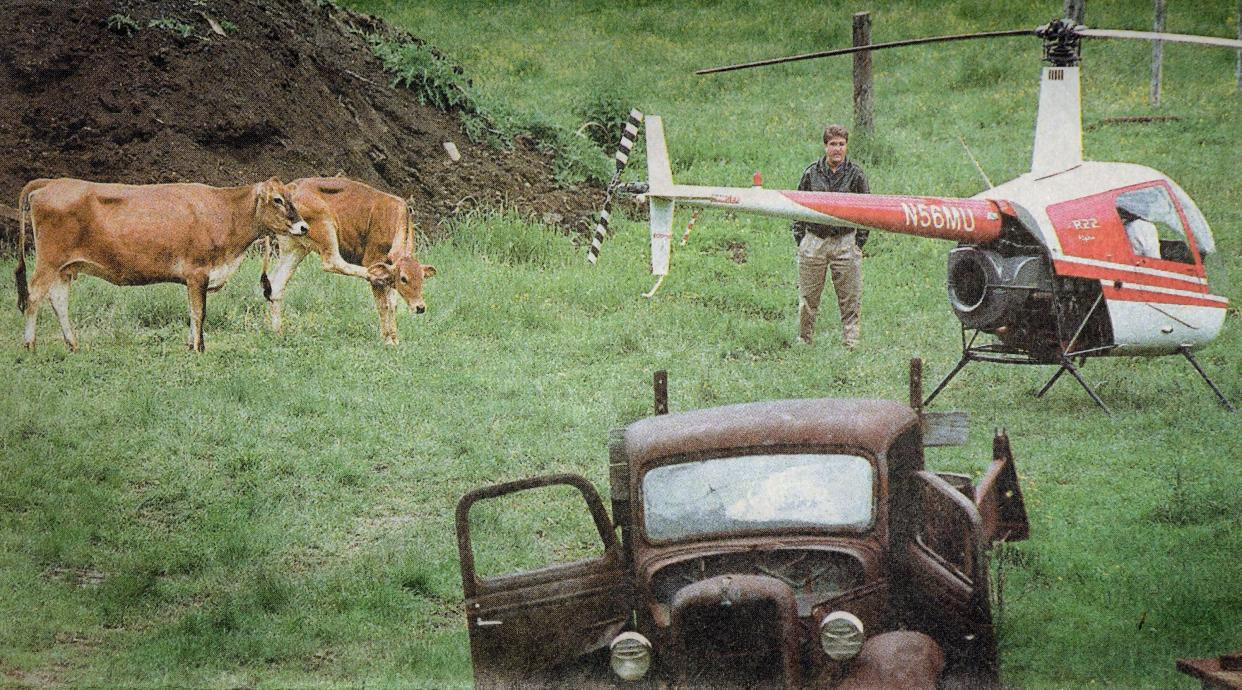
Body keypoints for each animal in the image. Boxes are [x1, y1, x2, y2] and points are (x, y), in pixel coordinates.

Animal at [15, 174, 308, 352]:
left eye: (291, 198)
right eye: (277, 200)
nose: (304, 227)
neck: (224, 212)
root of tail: (51, 183)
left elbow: (192, 313)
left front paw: (191, 345)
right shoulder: (197, 272)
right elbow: (199, 313)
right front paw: (199, 348)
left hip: (64, 267)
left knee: (59, 301)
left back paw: (73, 345)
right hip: (49, 262)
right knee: (33, 297)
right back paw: (30, 345)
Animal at [263, 174, 437, 342]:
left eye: (422, 278)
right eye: (403, 278)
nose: (420, 307)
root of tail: (289, 188)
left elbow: (392, 303)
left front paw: (395, 340)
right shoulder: (373, 259)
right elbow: (384, 305)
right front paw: (387, 341)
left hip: (295, 247)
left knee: (276, 285)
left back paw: (278, 333)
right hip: (326, 226)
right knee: (333, 262)